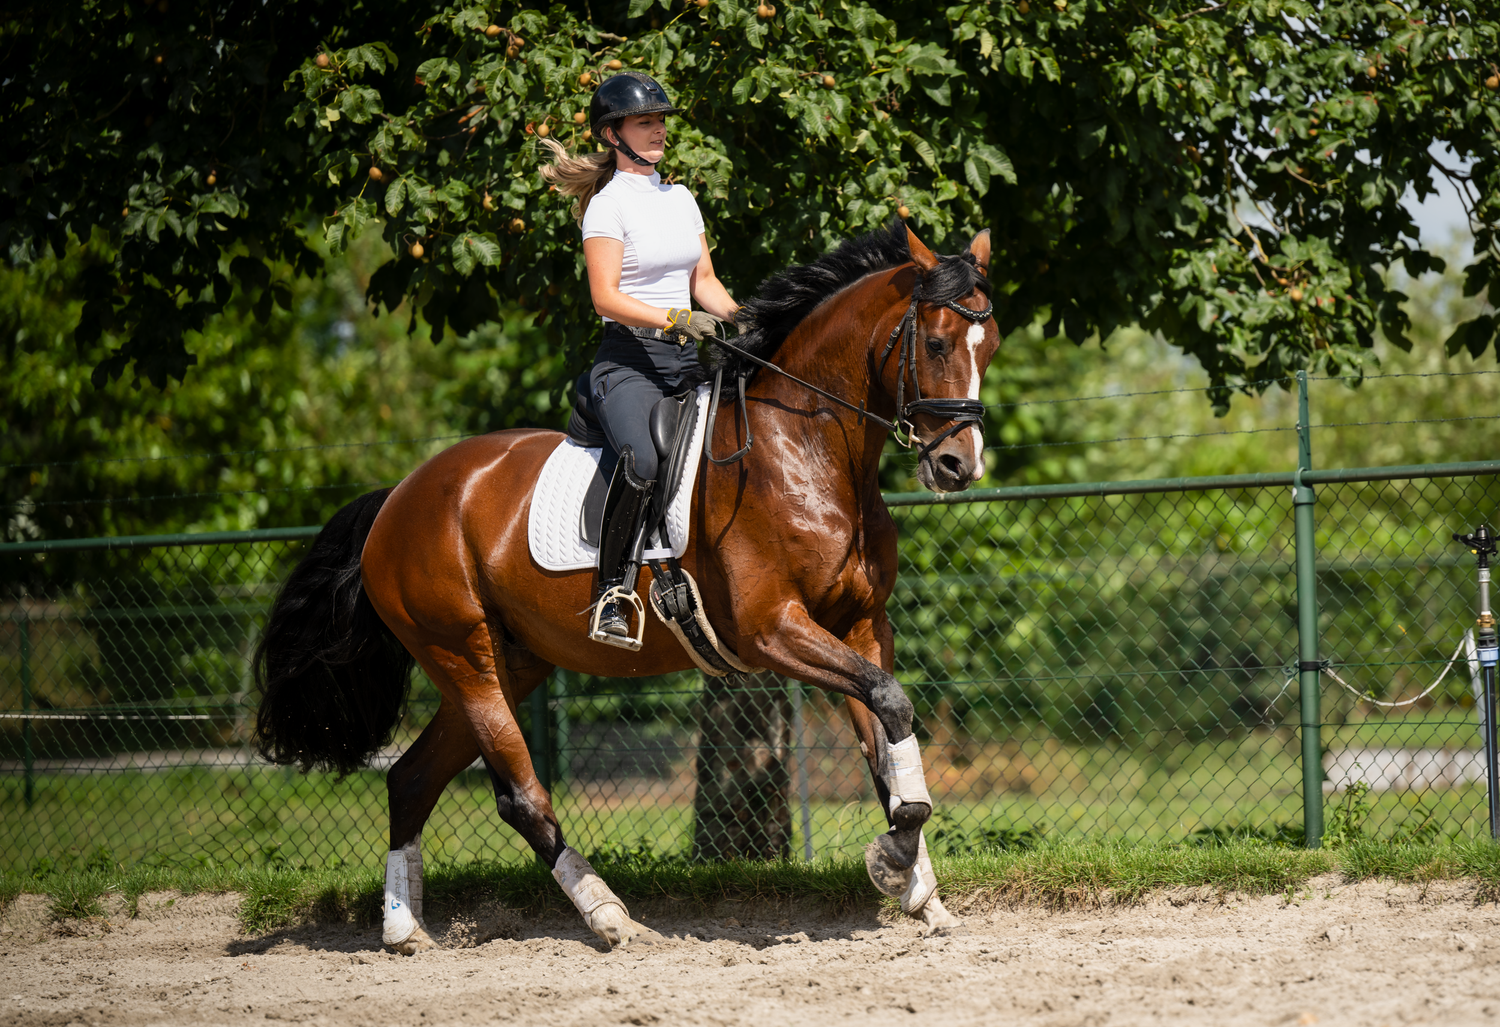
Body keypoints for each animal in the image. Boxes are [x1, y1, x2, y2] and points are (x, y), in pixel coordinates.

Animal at [253, 221, 999, 952]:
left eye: (987, 347)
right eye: (935, 343)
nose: (959, 466)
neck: (807, 449)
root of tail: (398, 498)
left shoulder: (862, 626)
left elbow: (887, 740)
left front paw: (919, 889)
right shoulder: (774, 629)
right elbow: (891, 705)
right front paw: (895, 860)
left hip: (509, 662)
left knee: (410, 778)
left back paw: (403, 928)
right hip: (463, 657)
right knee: (518, 797)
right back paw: (609, 916)